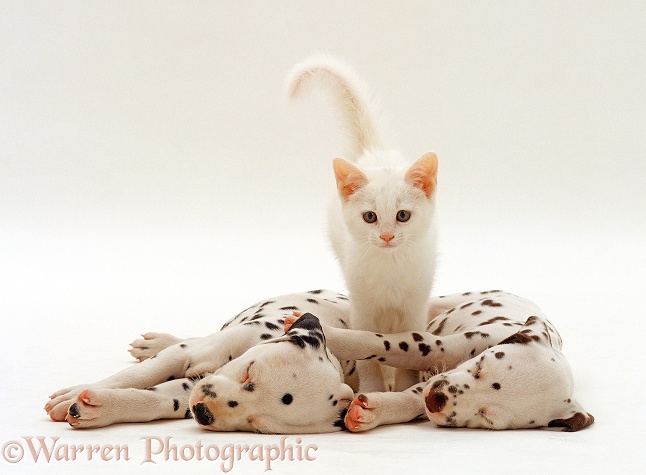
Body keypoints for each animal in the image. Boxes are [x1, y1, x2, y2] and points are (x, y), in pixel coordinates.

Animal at [288, 57, 440, 392]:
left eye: (403, 215)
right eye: (370, 217)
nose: (386, 236)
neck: (389, 267)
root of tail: (373, 153)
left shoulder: (414, 309)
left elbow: (408, 350)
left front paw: (405, 387)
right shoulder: (363, 308)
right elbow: (367, 353)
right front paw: (372, 388)